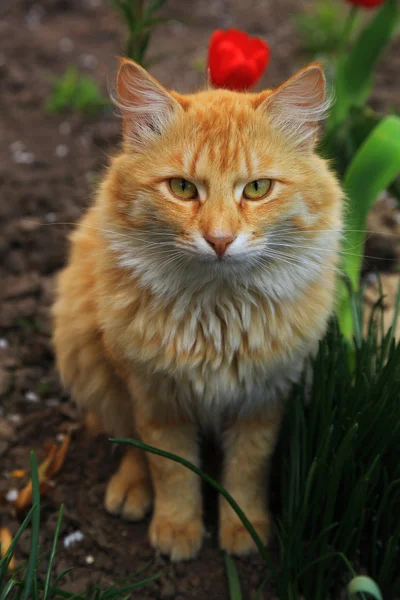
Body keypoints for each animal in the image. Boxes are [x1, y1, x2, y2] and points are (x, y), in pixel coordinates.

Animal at [51, 58, 342, 560]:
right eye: (183, 188)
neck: (218, 313)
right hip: (90, 358)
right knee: (127, 441)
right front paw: (177, 529)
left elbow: (246, 470)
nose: (220, 240)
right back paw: (130, 491)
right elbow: (171, 469)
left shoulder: (263, 396)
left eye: (257, 188)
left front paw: (244, 530)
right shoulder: (155, 396)